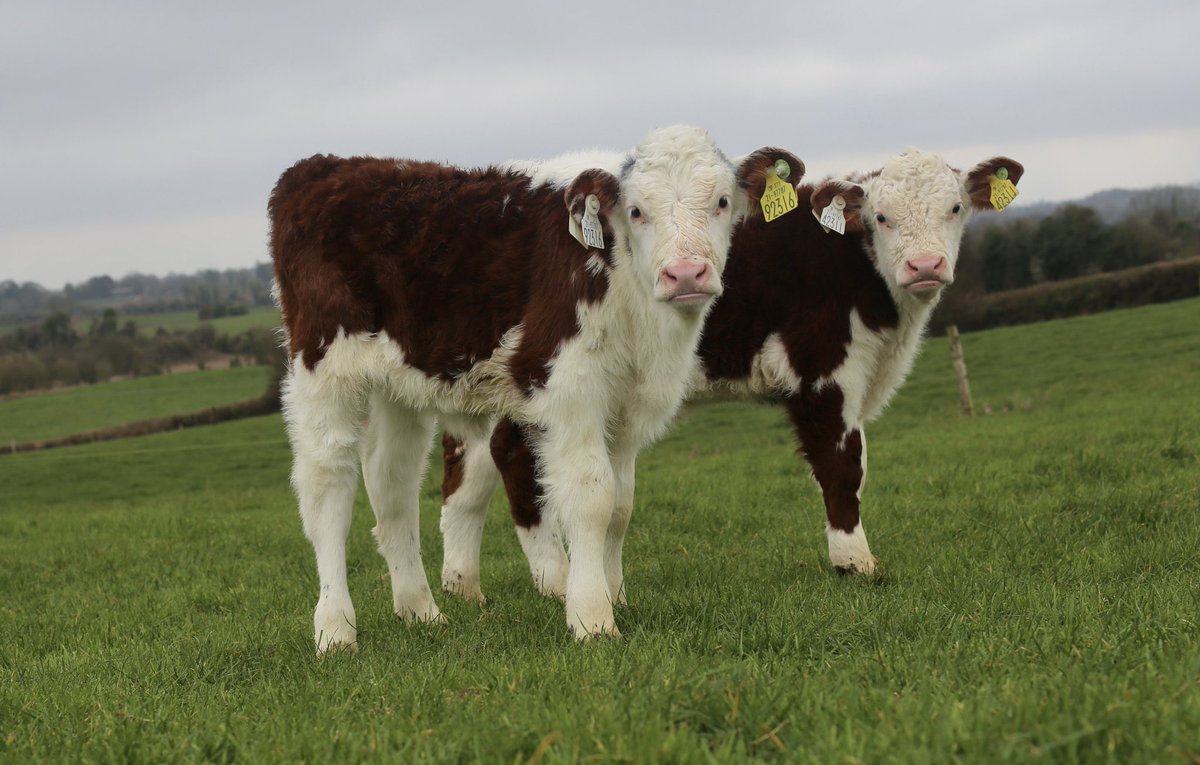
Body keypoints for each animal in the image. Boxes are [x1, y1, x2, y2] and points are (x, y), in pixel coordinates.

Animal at [269, 125, 802, 652]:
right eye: (636, 211)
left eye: (721, 201)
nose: (686, 274)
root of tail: (326, 166)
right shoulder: (571, 393)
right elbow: (591, 499)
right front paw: (592, 617)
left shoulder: (625, 409)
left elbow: (621, 505)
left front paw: (616, 595)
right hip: (323, 369)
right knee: (328, 488)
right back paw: (335, 629)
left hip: (398, 384)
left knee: (391, 484)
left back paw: (420, 612)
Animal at [438, 150, 1023, 601]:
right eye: (882, 217)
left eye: (955, 208)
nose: (924, 267)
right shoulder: (821, 374)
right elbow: (842, 468)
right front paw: (854, 563)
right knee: (511, 457)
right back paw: (553, 579)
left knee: (475, 466)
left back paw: (464, 585)